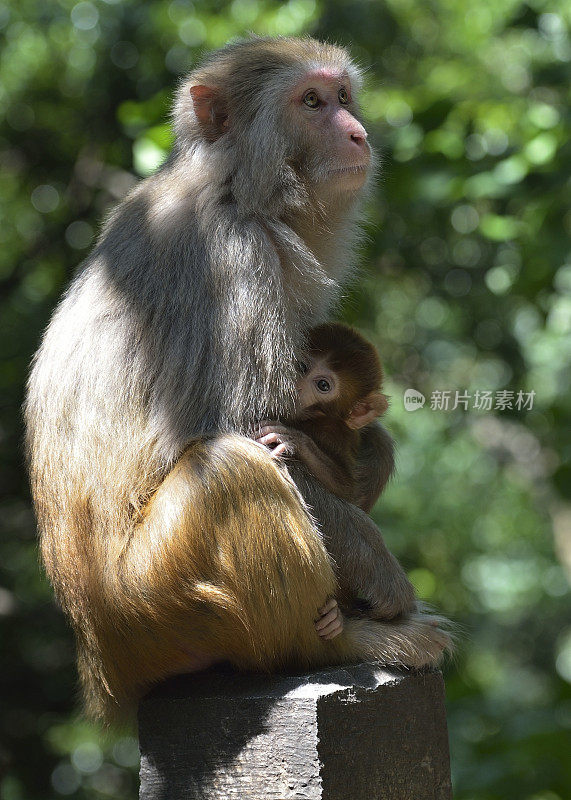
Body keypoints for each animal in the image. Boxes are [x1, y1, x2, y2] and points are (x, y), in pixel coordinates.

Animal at [24, 37, 450, 724]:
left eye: (343, 96)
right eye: (312, 102)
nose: (357, 133)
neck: (232, 188)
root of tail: (100, 665)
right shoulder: (236, 260)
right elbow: (251, 429)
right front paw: (387, 583)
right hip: (152, 609)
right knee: (229, 470)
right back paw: (333, 645)